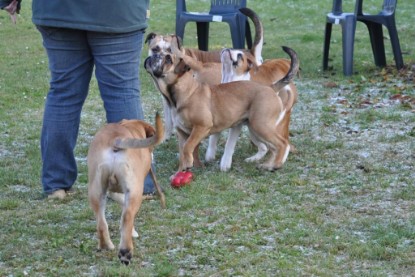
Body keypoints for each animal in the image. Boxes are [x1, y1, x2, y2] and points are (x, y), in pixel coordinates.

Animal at [87, 113, 165, 264]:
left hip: (96, 191)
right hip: (135, 191)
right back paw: (125, 252)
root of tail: (116, 139)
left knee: (101, 223)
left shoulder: (112, 191)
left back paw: (106, 246)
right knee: (128, 216)